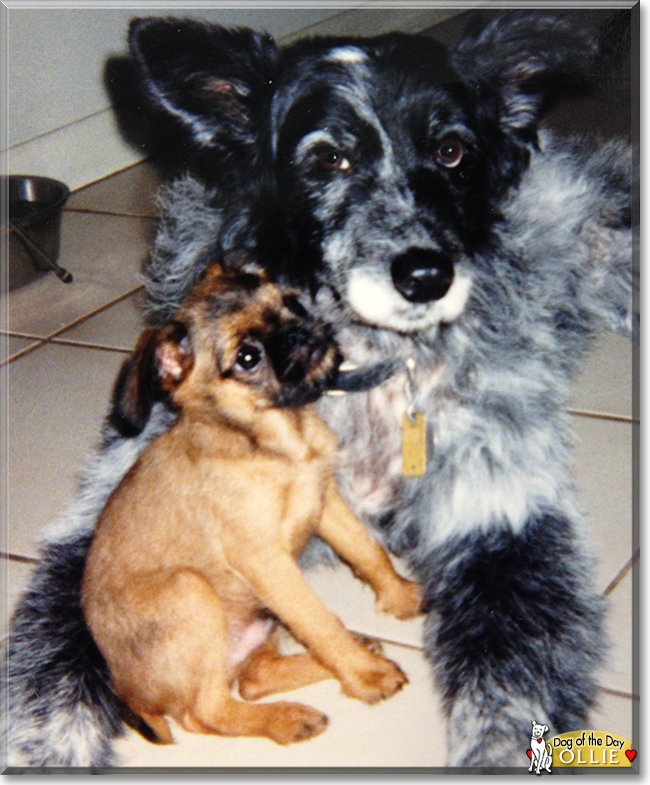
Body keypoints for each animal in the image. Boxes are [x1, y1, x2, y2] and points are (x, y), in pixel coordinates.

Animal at [79, 260, 420, 744]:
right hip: (191, 590)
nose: (299, 333)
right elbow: (319, 619)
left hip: (261, 620)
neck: (277, 440)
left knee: (254, 680)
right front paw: (366, 676)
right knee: (208, 712)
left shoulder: (327, 502)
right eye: (247, 357)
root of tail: (127, 692)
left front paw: (400, 597)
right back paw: (289, 717)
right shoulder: (267, 561)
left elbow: (367, 551)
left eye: (293, 304)